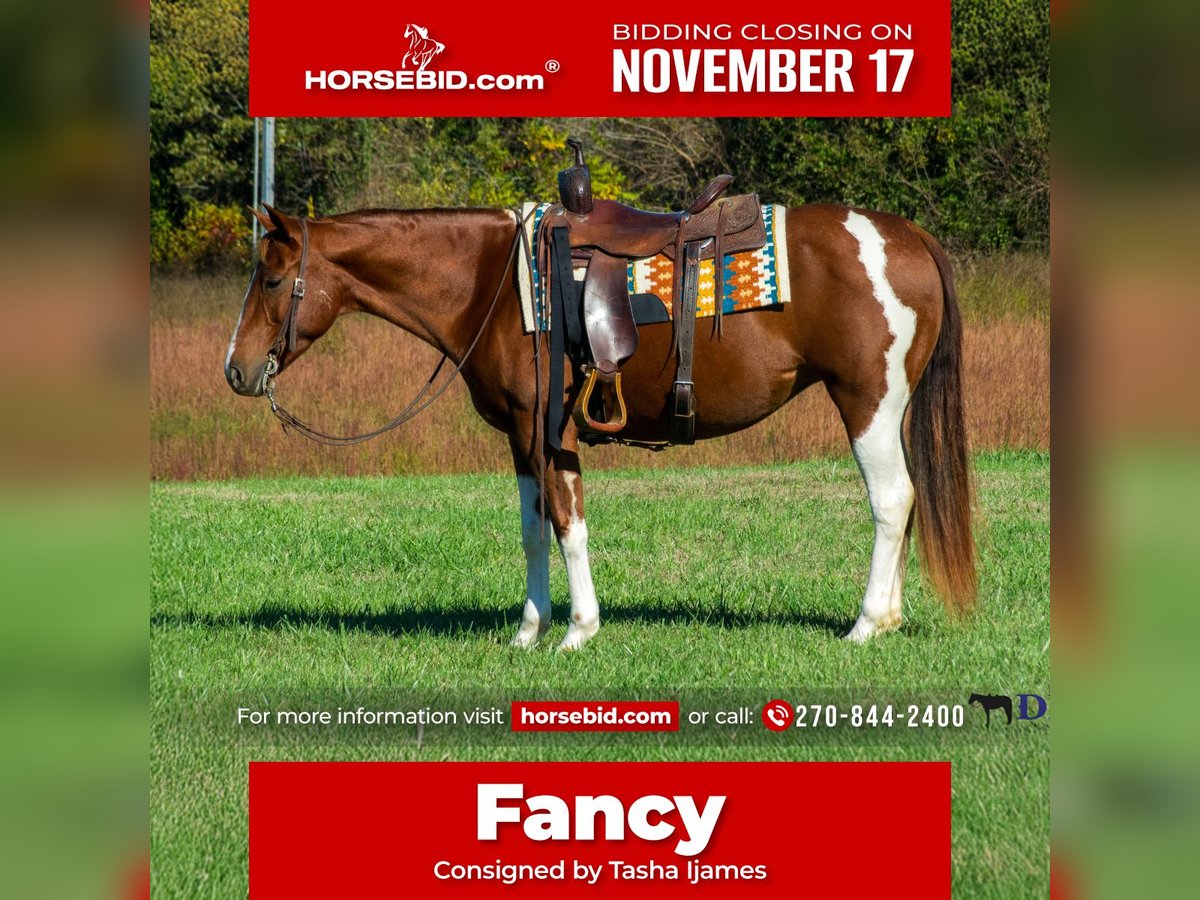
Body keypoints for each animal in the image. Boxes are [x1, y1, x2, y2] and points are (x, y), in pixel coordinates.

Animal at [225, 202, 976, 651]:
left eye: (272, 280)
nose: (236, 370)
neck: (488, 282)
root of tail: (907, 237)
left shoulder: (547, 431)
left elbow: (568, 526)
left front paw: (578, 631)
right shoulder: (520, 438)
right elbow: (532, 531)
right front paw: (528, 631)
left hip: (868, 402)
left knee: (891, 501)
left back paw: (866, 624)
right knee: (907, 501)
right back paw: (891, 616)